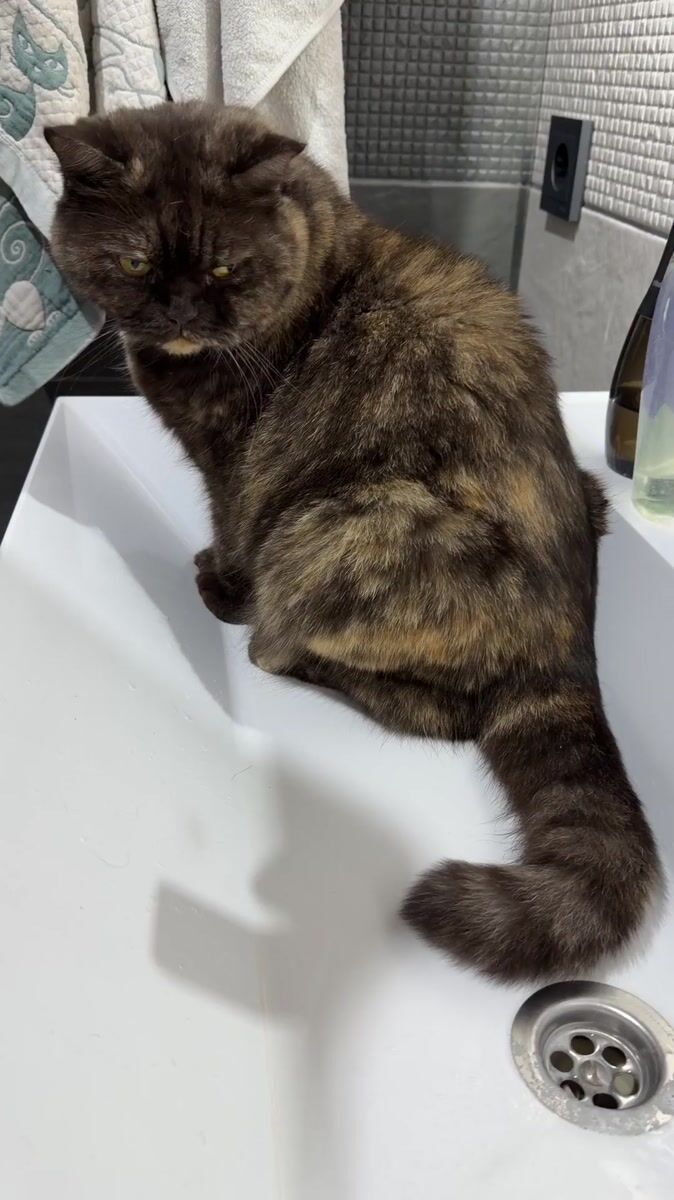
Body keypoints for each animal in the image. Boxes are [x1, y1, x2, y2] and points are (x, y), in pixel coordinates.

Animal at [46, 101, 662, 983]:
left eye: (226, 268)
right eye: (134, 261)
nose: (181, 311)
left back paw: (286, 649)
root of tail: (572, 648)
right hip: (583, 497)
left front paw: (218, 583)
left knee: (398, 694)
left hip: (333, 528)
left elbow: (230, 523)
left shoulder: (235, 462)